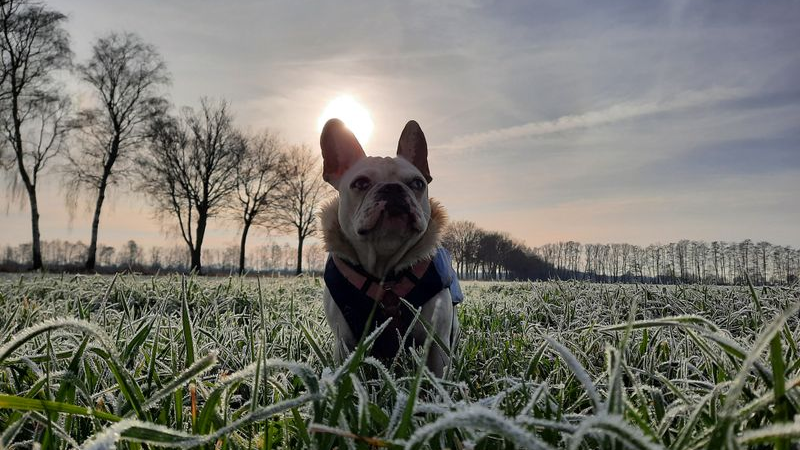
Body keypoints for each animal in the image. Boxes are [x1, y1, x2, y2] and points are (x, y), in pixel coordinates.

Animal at [318, 117, 462, 376]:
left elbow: (438, 373)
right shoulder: (344, 342)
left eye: (418, 183)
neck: (384, 268)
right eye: (360, 183)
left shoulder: (436, 341)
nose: (393, 187)